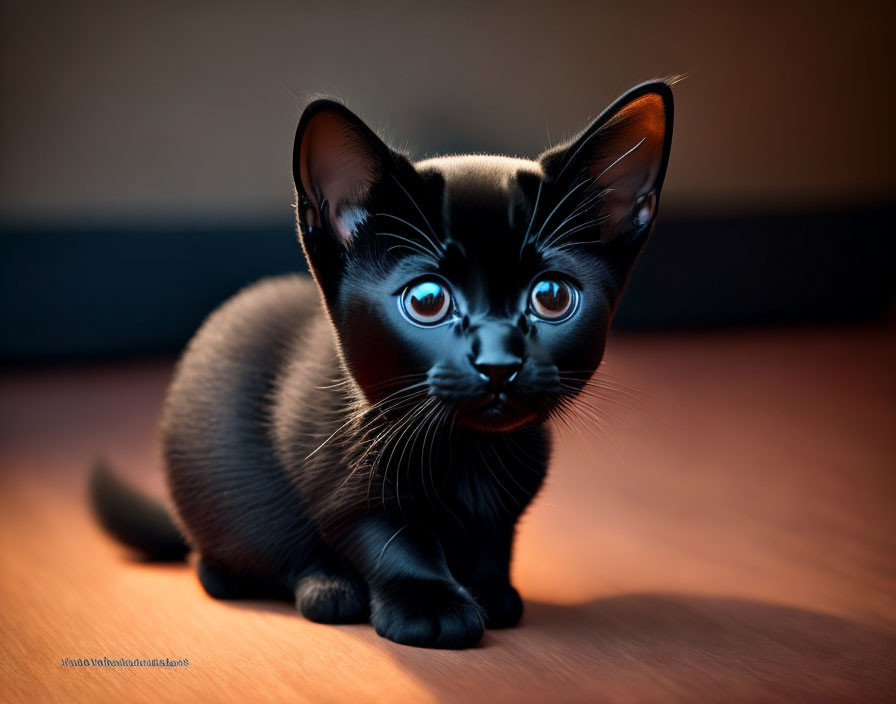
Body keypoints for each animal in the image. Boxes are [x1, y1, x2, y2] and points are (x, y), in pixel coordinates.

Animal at [94, 81, 676, 648]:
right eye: (427, 301)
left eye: (551, 297)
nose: (498, 363)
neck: (468, 456)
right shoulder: (341, 479)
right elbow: (390, 536)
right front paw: (431, 607)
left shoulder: (508, 496)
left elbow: (494, 539)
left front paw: (492, 594)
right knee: (226, 562)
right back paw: (325, 588)